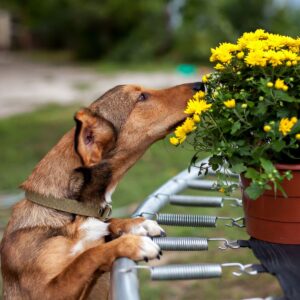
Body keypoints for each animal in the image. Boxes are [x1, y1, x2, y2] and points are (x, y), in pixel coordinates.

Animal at [0, 82, 202, 300]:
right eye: (141, 97)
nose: (200, 84)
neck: (73, 212)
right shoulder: (45, 292)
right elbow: (86, 257)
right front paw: (132, 244)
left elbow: (105, 226)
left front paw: (138, 224)